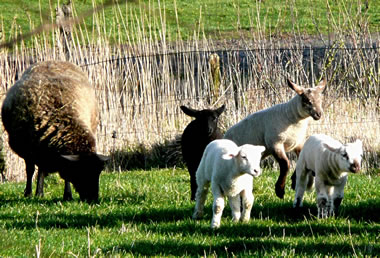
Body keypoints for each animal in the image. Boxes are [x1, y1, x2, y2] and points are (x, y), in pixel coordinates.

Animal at [1, 60, 108, 202]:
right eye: (80, 170)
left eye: (98, 173)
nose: (93, 199)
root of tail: (52, 60)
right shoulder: (29, 150)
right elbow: (30, 170)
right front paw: (30, 193)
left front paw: (67, 195)